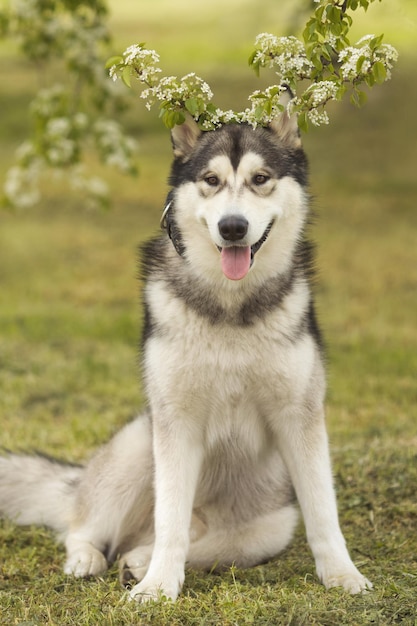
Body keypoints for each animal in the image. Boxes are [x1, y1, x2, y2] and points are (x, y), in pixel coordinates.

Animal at [0, 101, 370, 600]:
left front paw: (342, 575)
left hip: (268, 527)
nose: (232, 227)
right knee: (89, 528)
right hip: (139, 443)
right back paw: (91, 560)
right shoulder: (176, 421)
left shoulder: (302, 416)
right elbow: (169, 521)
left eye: (261, 178)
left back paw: (137, 561)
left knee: (180, 543)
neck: (230, 306)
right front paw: (158, 588)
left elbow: (323, 512)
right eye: (211, 180)